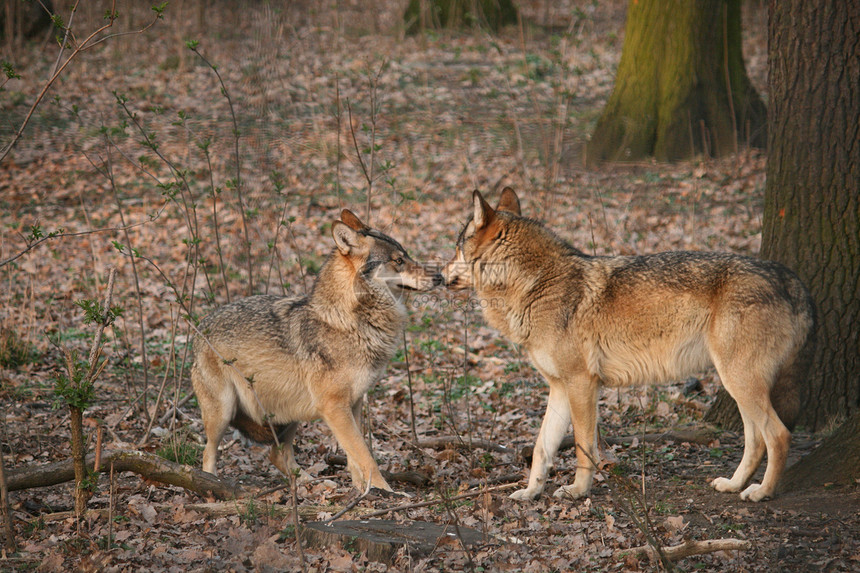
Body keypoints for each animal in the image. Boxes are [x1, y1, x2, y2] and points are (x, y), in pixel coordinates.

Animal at [192, 210, 440, 492]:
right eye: (398, 260)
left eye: (406, 256)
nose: (439, 278)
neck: (351, 321)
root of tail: (200, 328)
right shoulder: (334, 407)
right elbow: (365, 455)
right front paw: (384, 491)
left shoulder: (353, 403)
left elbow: (355, 457)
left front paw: (361, 491)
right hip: (223, 413)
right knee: (208, 452)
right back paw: (212, 484)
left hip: (289, 413)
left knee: (277, 455)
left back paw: (308, 484)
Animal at [446, 188, 816, 500]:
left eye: (456, 248)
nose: (439, 273)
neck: (535, 284)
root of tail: (792, 280)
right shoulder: (559, 387)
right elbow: (541, 447)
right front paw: (530, 493)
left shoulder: (582, 384)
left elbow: (583, 446)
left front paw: (578, 491)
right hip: (737, 385)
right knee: (755, 440)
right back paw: (735, 484)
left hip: (739, 381)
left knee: (778, 436)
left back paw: (761, 492)